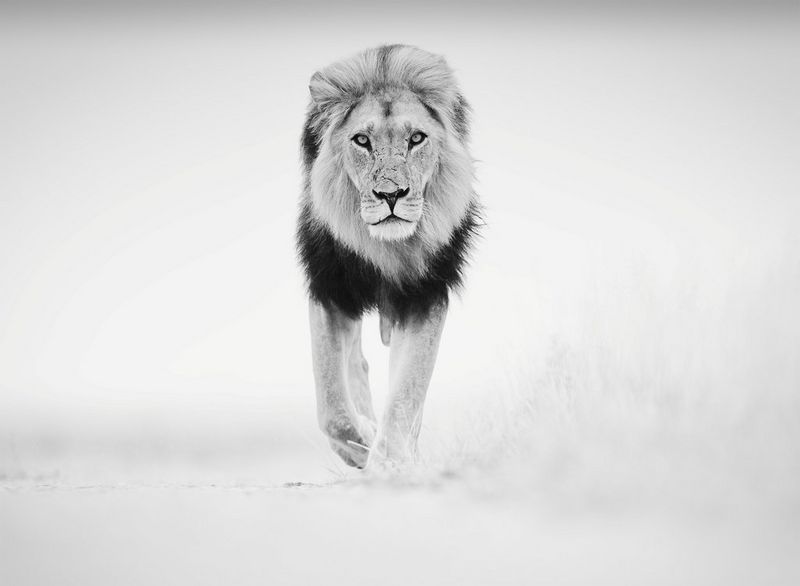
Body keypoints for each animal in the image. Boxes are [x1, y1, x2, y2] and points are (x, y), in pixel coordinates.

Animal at [296, 44, 480, 468]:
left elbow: (406, 396)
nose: (391, 195)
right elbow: (334, 410)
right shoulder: (330, 291)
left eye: (417, 138)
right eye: (362, 140)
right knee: (354, 367)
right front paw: (365, 439)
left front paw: (393, 459)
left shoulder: (425, 295)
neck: (387, 247)